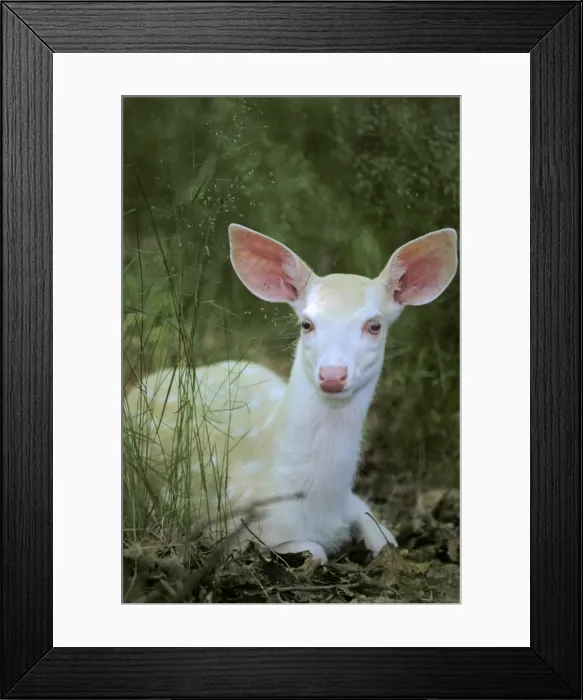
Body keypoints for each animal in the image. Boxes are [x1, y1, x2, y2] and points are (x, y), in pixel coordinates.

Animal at [125, 223, 458, 565]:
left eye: (374, 325)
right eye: (306, 324)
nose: (332, 375)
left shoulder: (355, 502)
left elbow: (386, 541)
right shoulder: (233, 527)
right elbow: (316, 551)